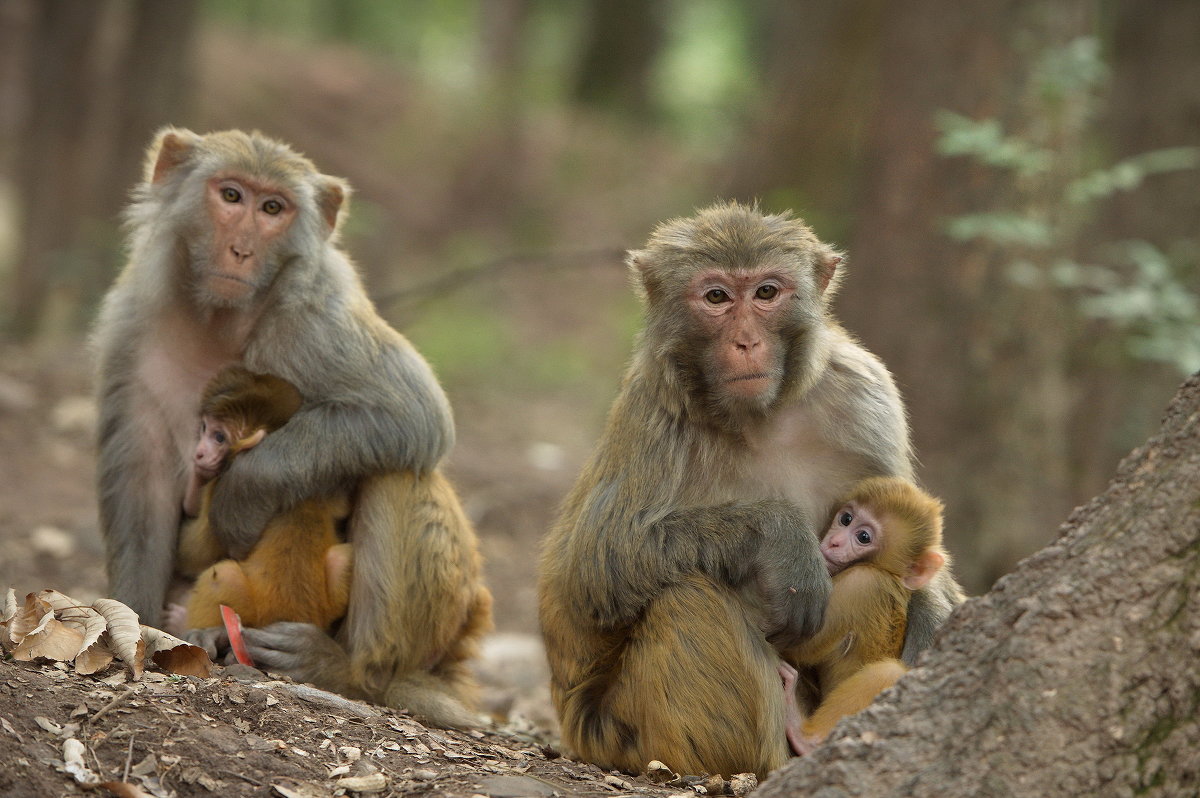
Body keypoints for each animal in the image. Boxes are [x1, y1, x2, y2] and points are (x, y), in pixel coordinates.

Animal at [782, 475, 950, 758]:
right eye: (846, 519)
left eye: (863, 537)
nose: (835, 542)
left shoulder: (861, 583)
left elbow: (794, 646)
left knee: (889, 672)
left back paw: (805, 737)